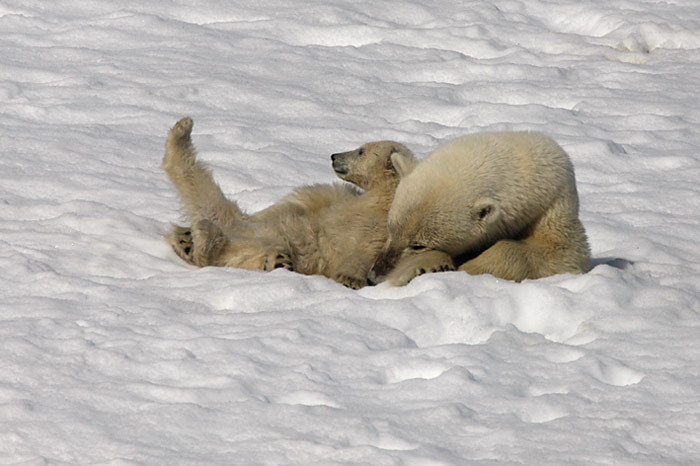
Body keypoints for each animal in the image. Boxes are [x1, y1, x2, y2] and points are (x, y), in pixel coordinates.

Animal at [366, 129, 592, 286]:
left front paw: (469, 267)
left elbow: (564, 254)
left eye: (418, 245)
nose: (374, 276)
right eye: (390, 227)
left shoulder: (554, 207)